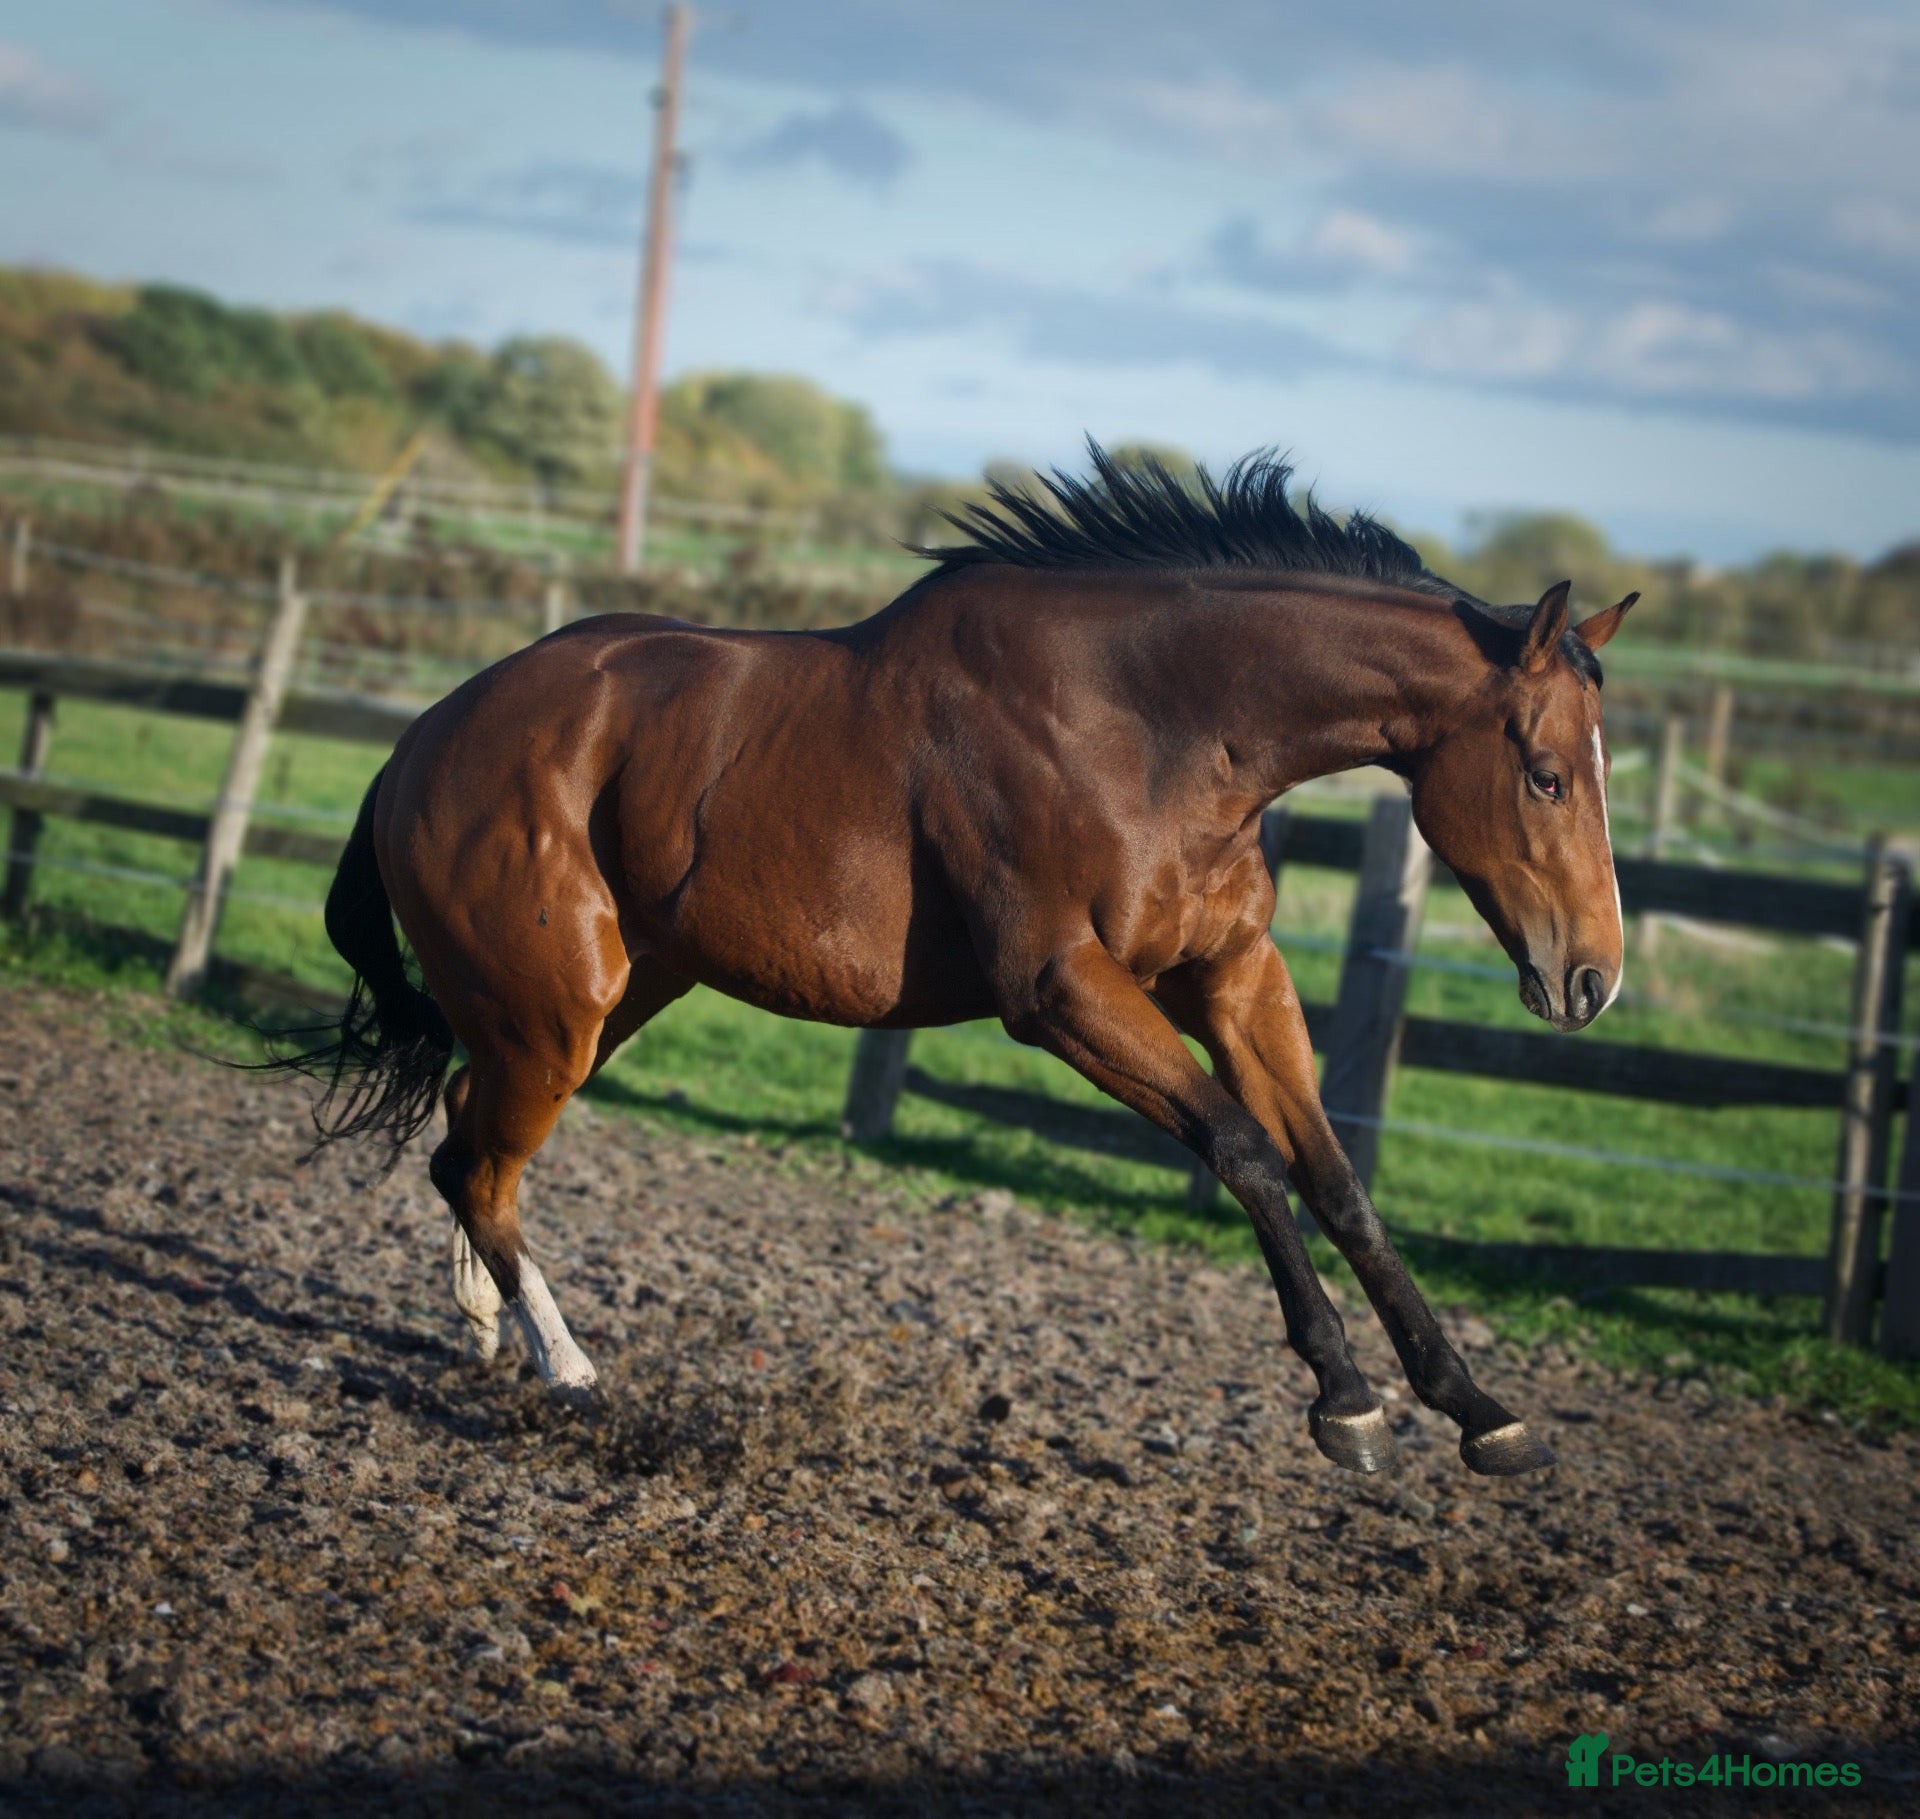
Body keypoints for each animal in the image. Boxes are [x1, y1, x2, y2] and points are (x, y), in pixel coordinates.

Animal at [275, 446, 1636, 1479]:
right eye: (1546, 775)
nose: (1591, 980)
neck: (1153, 722)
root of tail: (423, 739)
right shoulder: (1061, 990)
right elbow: (1245, 1152)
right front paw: (1347, 1402)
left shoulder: (1236, 976)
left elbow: (1338, 1179)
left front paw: (1480, 1411)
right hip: (560, 1010)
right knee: (479, 1164)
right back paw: (569, 1370)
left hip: (606, 998)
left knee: (468, 1144)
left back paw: (484, 1330)